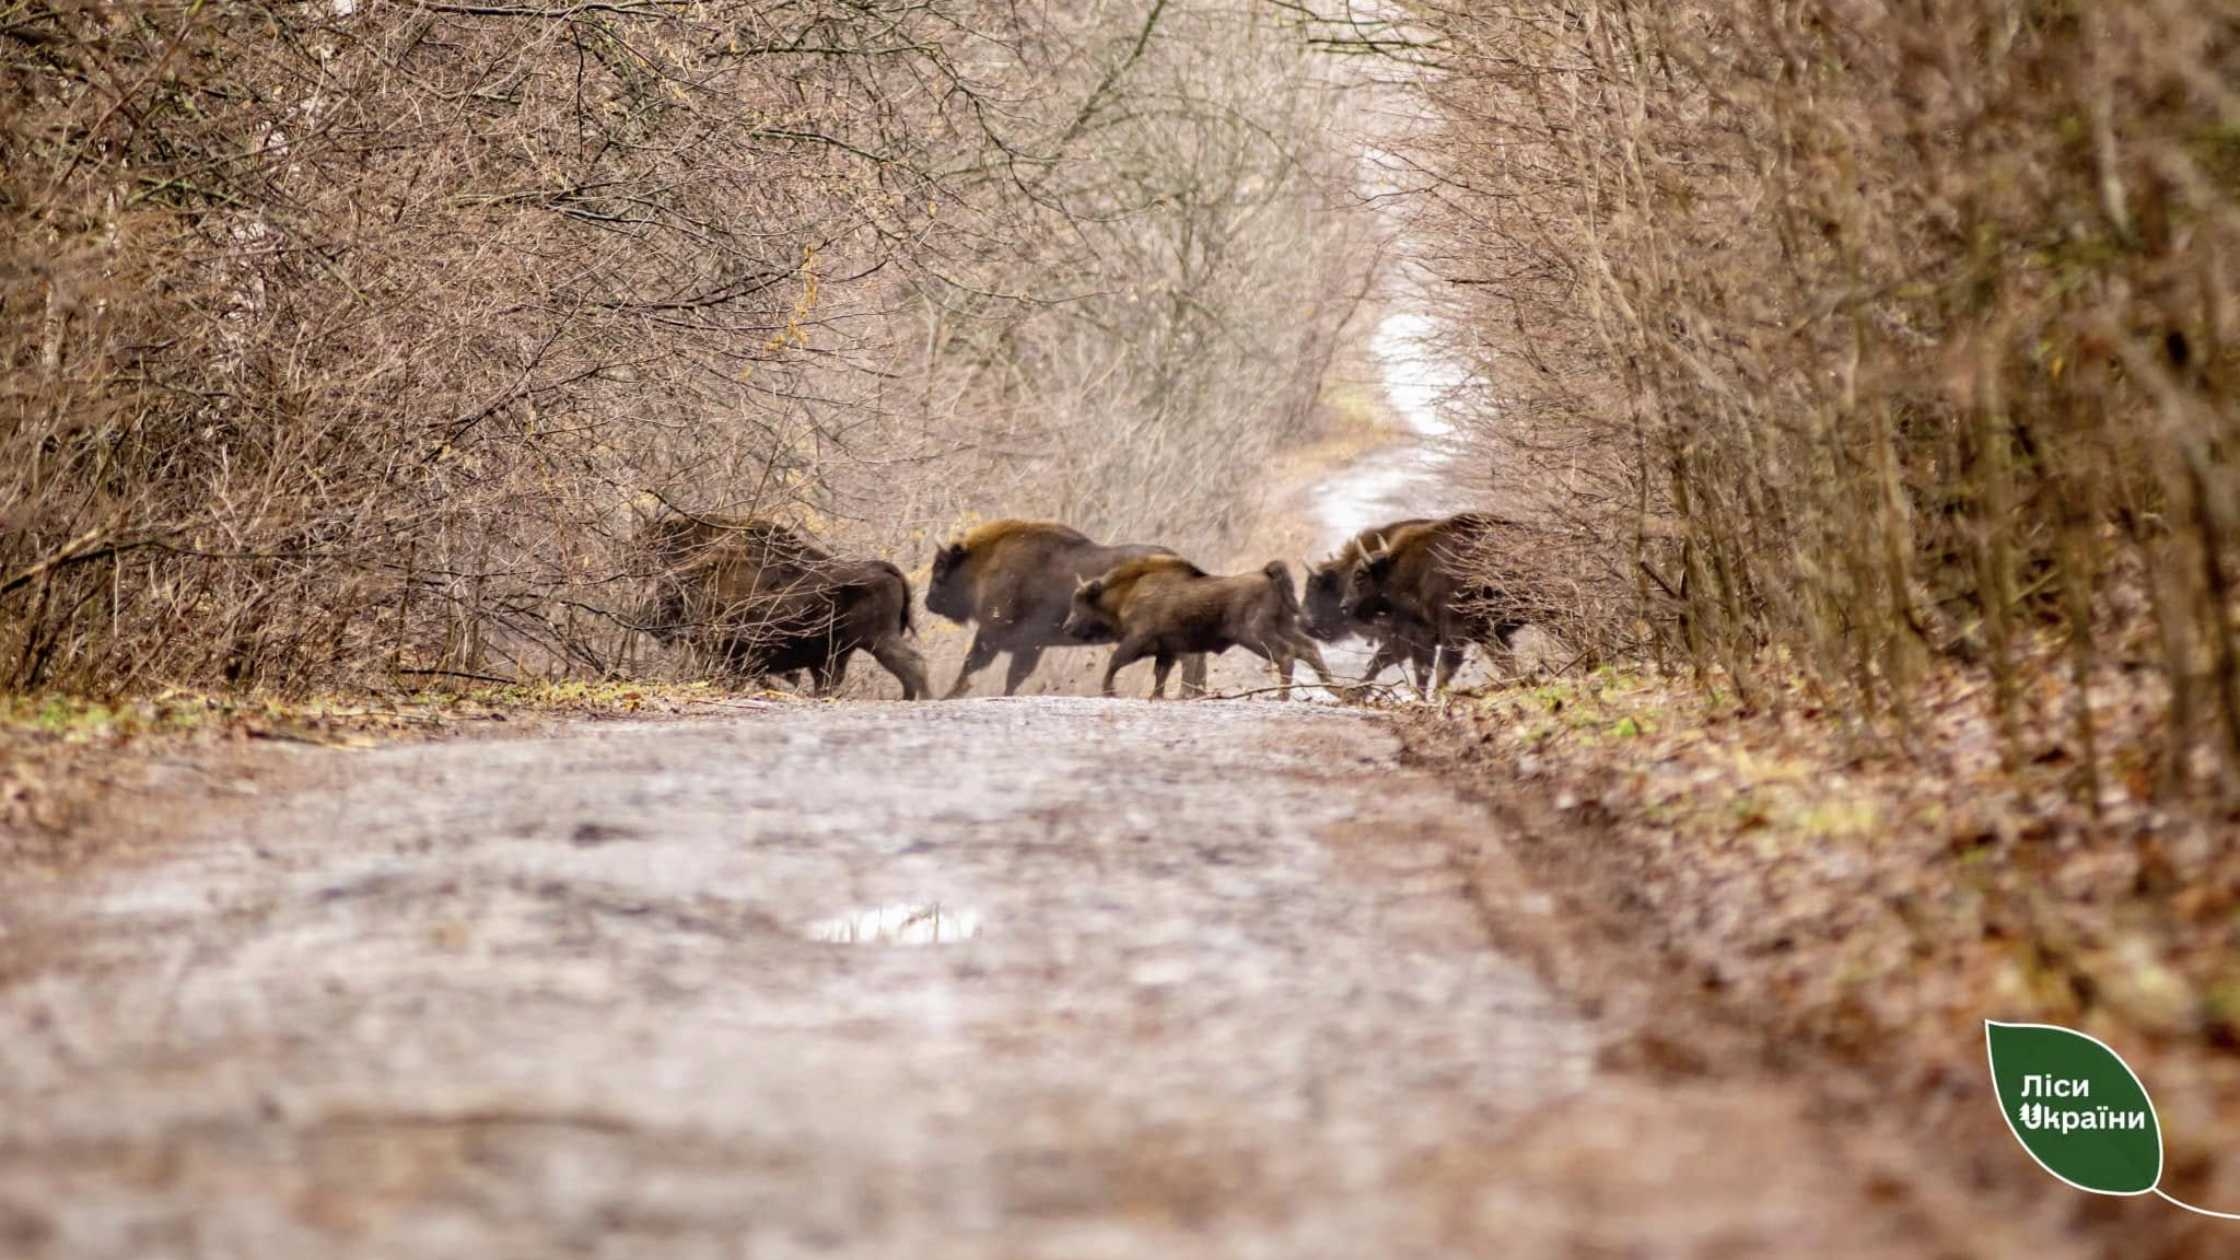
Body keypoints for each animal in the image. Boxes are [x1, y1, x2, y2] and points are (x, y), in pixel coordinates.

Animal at [640, 515, 927, 699]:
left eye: (664, 594)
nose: (646, 617)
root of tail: (884, 567)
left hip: (877, 639)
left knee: (913, 663)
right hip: (846, 650)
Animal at [927, 517, 1209, 695]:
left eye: (940, 569)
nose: (928, 602)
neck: (985, 564)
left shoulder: (994, 634)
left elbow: (976, 666)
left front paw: (948, 695)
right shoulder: (1029, 646)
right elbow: (1012, 676)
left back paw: (1187, 693)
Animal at [1061, 553, 1335, 695]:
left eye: (1081, 601)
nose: (1067, 626)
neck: (1129, 591)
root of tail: (1266, 574)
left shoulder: (1137, 641)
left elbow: (1115, 662)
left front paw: (1109, 691)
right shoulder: (1167, 650)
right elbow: (1160, 675)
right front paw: (1157, 697)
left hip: (1254, 635)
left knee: (1286, 654)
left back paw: (1282, 697)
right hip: (1284, 627)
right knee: (1308, 649)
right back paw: (1335, 690)